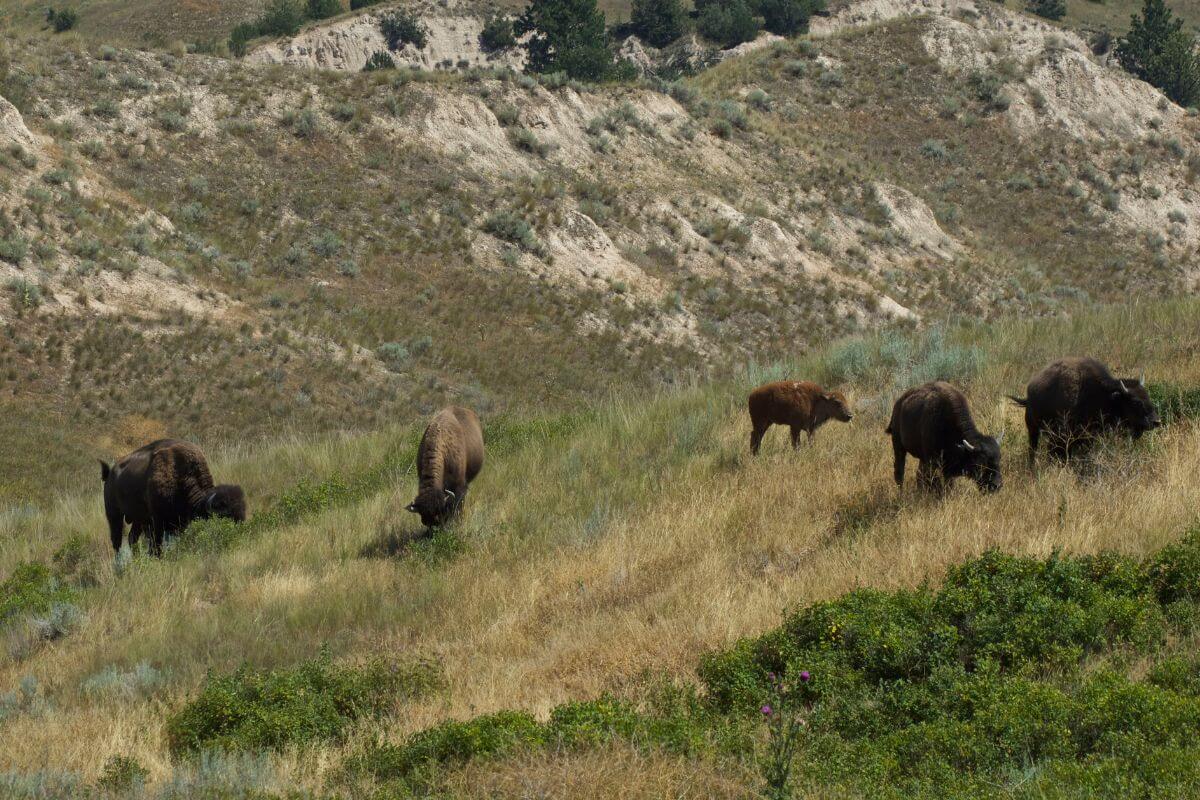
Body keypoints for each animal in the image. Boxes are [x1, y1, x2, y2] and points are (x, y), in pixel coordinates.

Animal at [101, 439, 246, 557]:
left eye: (242, 513)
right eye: (224, 516)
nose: (238, 535)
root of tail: (109, 473)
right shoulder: (156, 522)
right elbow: (156, 544)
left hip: (138, 519)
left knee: (132, 538)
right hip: (114, 514)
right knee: (117, 541)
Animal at [1010, 357, 1159, 465]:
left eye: (1147, 396)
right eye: (1136, 402)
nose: (1156, 421)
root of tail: (1030, 391)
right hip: (1033, 428)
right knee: (1034, 449)